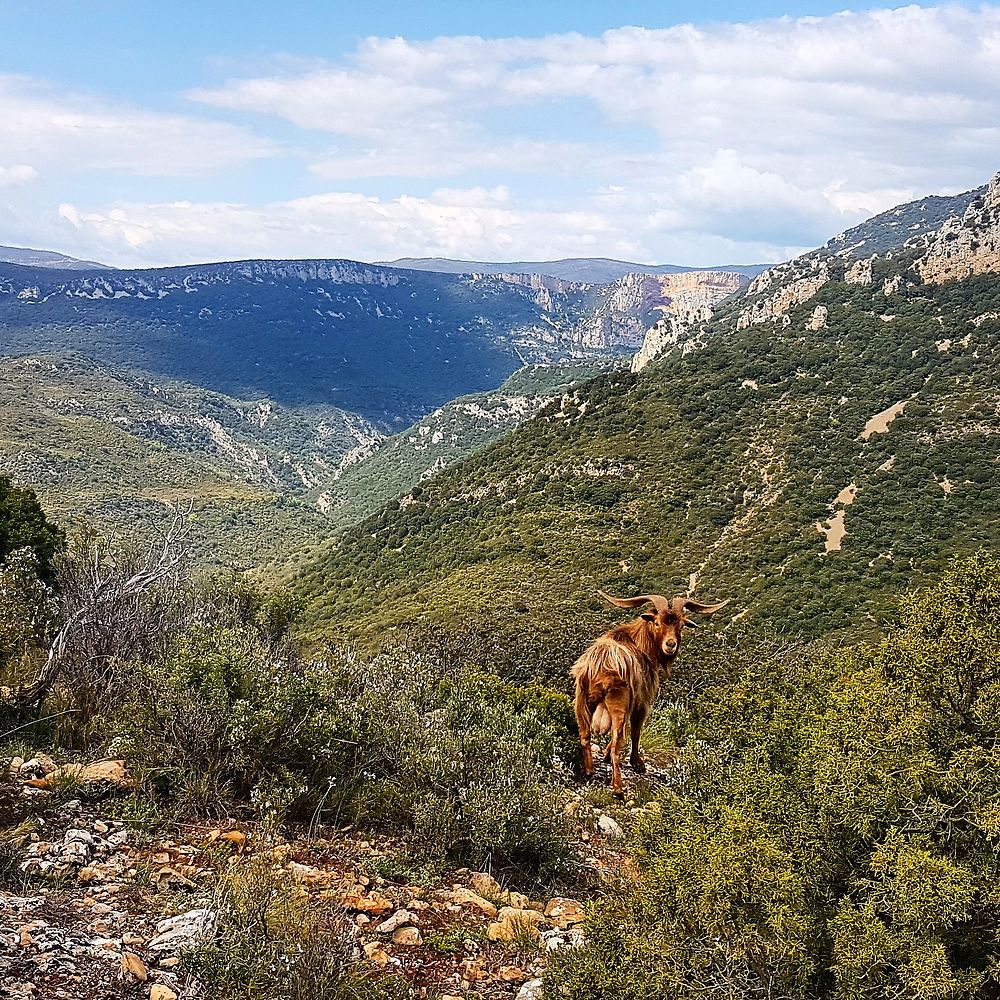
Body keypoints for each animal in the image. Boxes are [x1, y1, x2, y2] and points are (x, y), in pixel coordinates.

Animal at [572, 588, 728, 792]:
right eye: (657, 622)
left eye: (680, 625)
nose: (670, 644)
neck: (639, 644)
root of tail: (597, 665)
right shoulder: (642, 701)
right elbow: (636, 730)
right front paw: (637, 763)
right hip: (617, 703)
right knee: (616, 744)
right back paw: (618, 789)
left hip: (582, 701)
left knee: (585, 736)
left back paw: (590, 771)